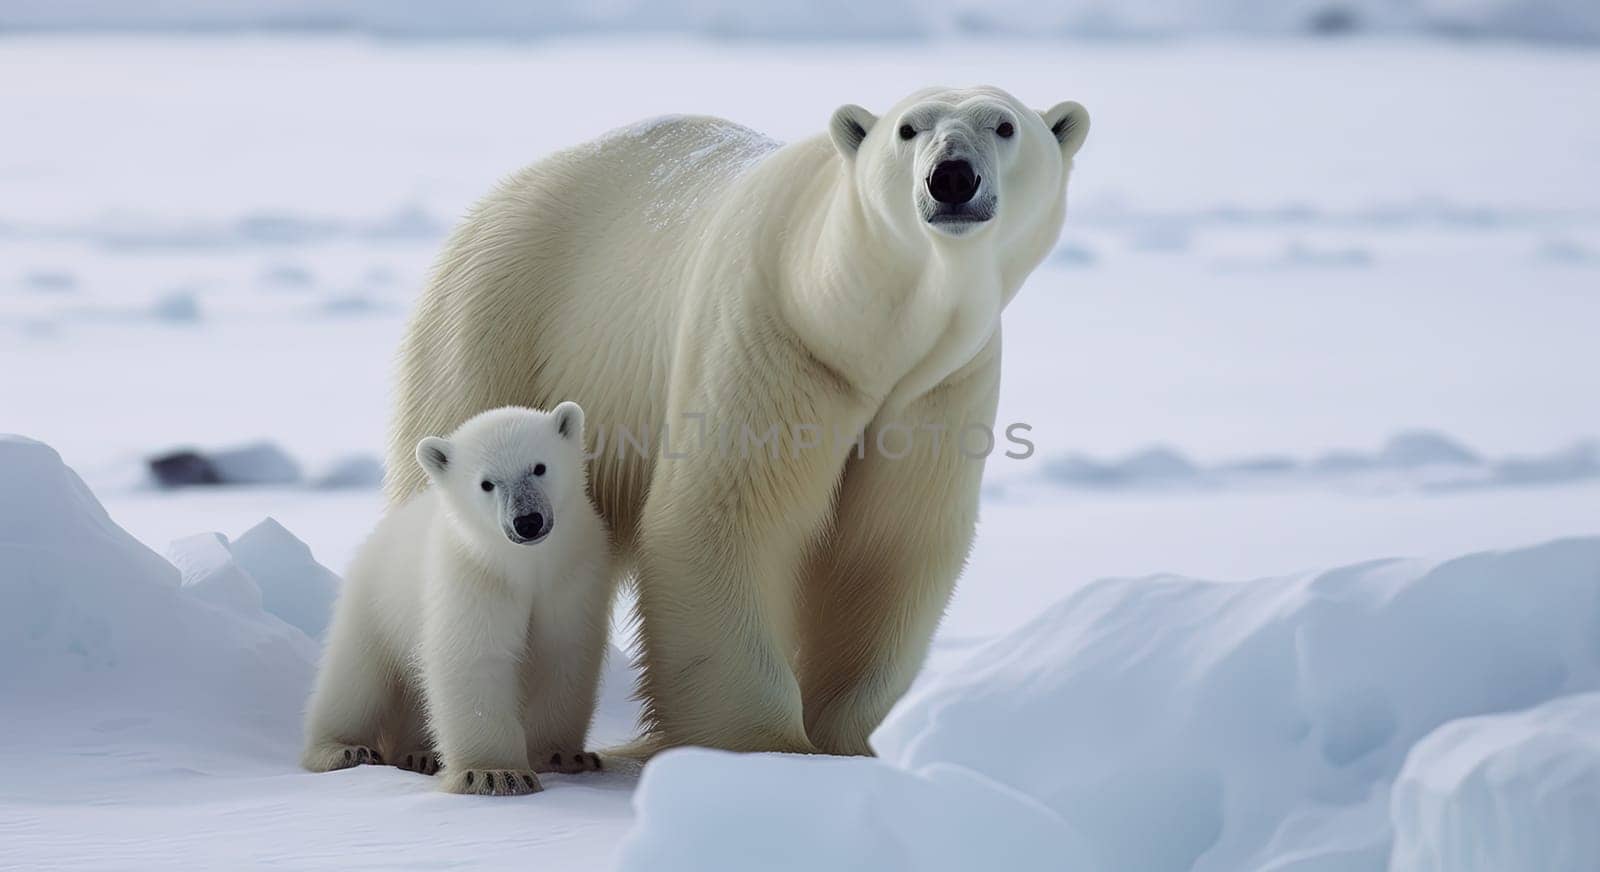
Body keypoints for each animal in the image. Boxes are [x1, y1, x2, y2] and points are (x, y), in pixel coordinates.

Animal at [302, 404, 614, 793]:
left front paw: (561, 756)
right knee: (354, 681)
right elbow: (475, 655)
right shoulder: (474, 573)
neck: (525, 566)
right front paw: (494, 773)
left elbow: (563, 655)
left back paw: (418, 754)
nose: (527, 521)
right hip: (374, 605)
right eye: (487, 483)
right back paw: (343, 749)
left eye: (539, 466)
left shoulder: (572, 576)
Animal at [387, 86, 1088, 755]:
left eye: (1005, 125)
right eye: (908, 128)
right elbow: (727, 513)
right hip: (498, 326)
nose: (952, 177)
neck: (861, 328)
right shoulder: (770, 336)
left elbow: (888, 540)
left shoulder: (938, 384)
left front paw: (852, 740)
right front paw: (764, 744)